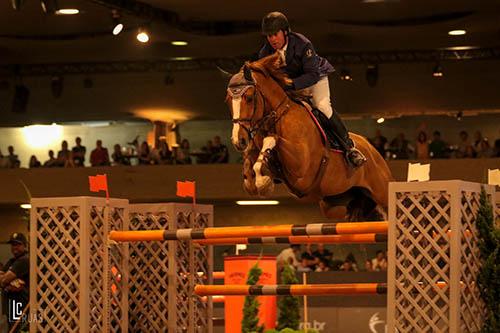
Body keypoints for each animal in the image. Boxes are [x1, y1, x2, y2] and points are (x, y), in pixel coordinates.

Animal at [227, 52, 394, 220]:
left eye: (249, 98)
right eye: (228, 100)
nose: (238, 141)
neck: (278, 117)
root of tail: (373, 150)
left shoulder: (300, 166)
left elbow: (272, 139)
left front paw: (262, 182)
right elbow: (250, 159)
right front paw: (254, 181)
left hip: (383, 193)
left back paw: (355, 155)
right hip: (337, 204)